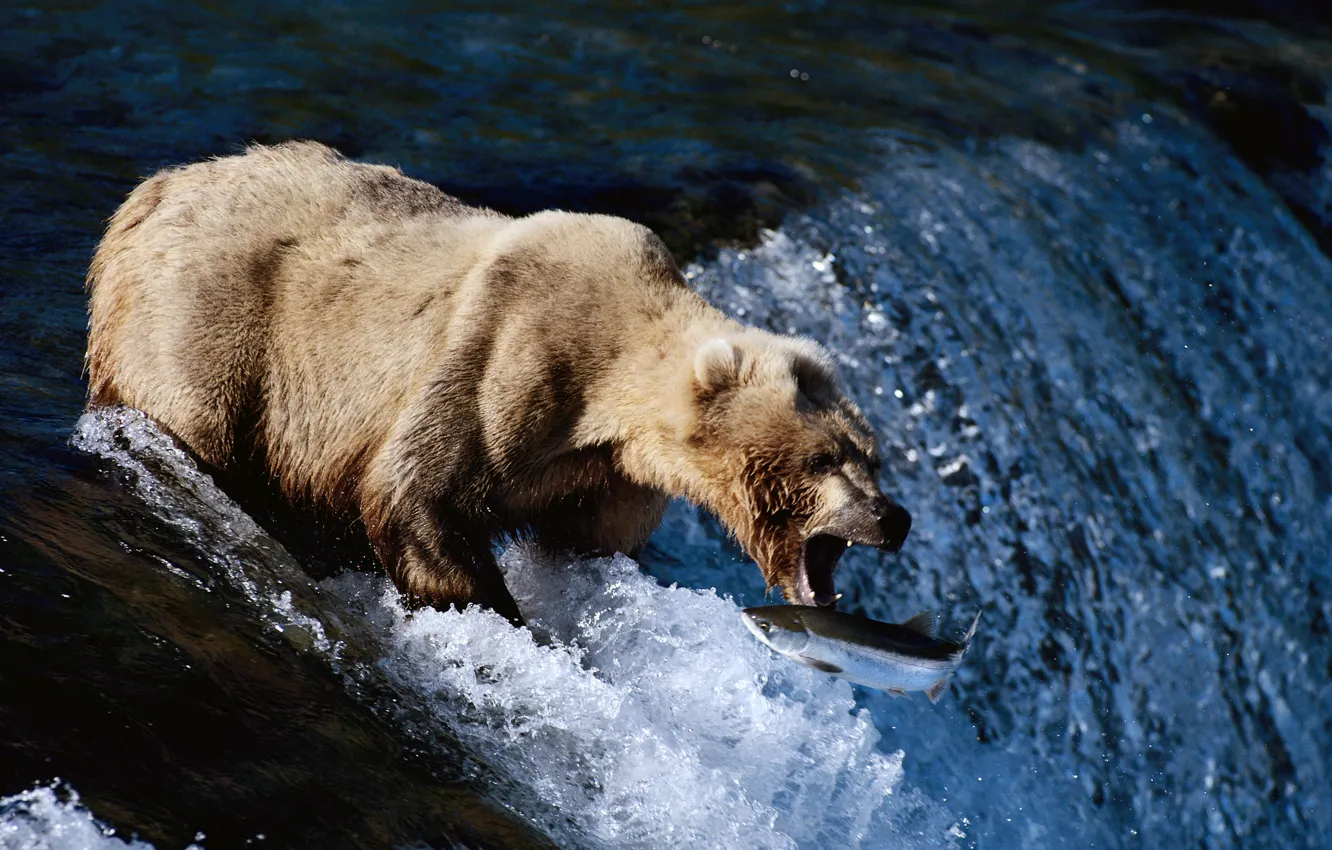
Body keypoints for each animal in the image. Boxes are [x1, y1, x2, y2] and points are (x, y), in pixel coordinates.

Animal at [85, 141, 911, 626]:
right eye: (824, 458)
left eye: (872, 455)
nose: (892, 517)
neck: (611, 399)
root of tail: (152, 188)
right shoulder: (511, 357)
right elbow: (416, 491)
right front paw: (505, 615)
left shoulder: (606, 476)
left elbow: (588, 544)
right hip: (211, 317)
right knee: (199, 421)